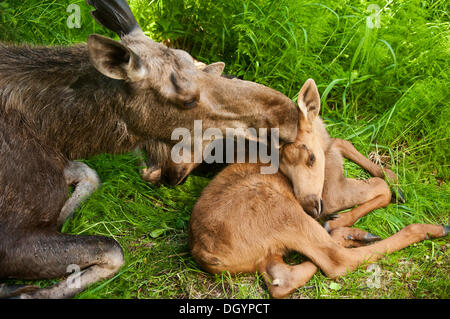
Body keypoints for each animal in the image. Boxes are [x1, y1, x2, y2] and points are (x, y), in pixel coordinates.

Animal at [0, 0, 298, 300]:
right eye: (188, 100)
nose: (289, 115)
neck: (56, 133)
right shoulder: (10, 240)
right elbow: (114, 250)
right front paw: (20, 289)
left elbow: (90, 175)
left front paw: (62, 217)